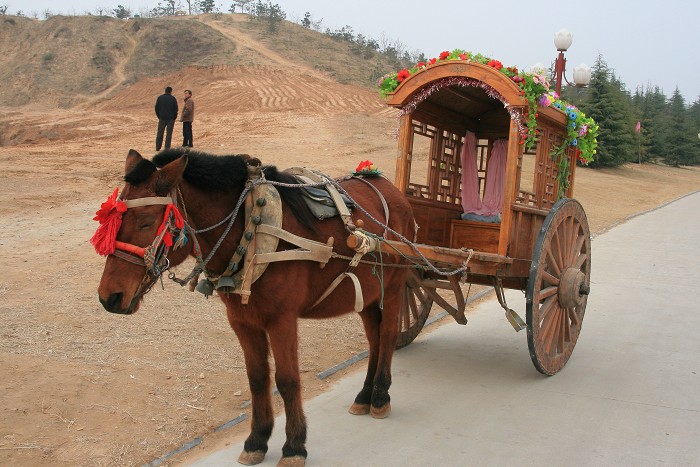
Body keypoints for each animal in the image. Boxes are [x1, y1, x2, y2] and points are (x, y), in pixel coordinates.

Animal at [95, 148, 416, 466]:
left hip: (395, 286)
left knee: (388, 335)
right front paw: (257, 439)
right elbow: (257, 379)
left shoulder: (282, 320)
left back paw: (380, 397)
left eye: (146, 221)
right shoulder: (242, 321)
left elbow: (287, 380)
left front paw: (294, 446)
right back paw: (364, 395)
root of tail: (391, 189)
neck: (250, 228)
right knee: (374, 339)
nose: (109, 297)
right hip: (368, 294)